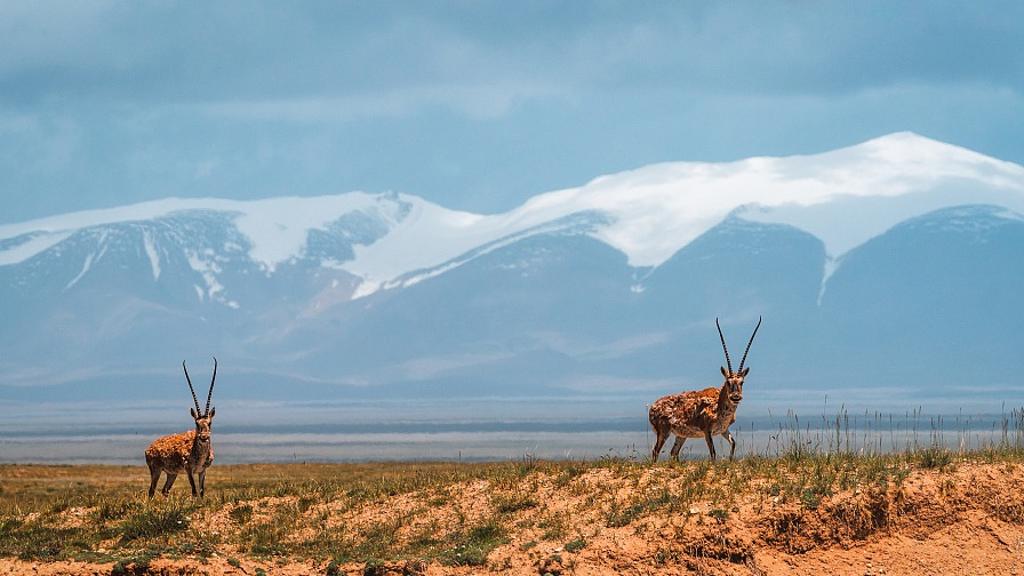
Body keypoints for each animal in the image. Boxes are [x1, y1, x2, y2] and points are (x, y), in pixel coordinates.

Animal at [145, 356, 217, 496]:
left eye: (209, 423)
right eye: (196, 423)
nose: (204, 437)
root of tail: (149, 448)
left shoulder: (202, 471)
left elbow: (201, 491)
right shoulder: (189, 470)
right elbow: (194, 491)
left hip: (172, 473)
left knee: (165, 490)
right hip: (156, 470)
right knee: (151, 491)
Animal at [647, 315, 761, 459]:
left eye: (742, 382)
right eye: (728, 382)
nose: (736, 397)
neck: (718, 404)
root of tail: (652, 407)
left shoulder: (724, 430)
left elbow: (734, 443)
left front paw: (730, 460)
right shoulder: (707, 431)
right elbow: (713, 453)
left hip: (681, 435)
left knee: (674, 452)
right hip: (664, 432)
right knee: (655, 451)